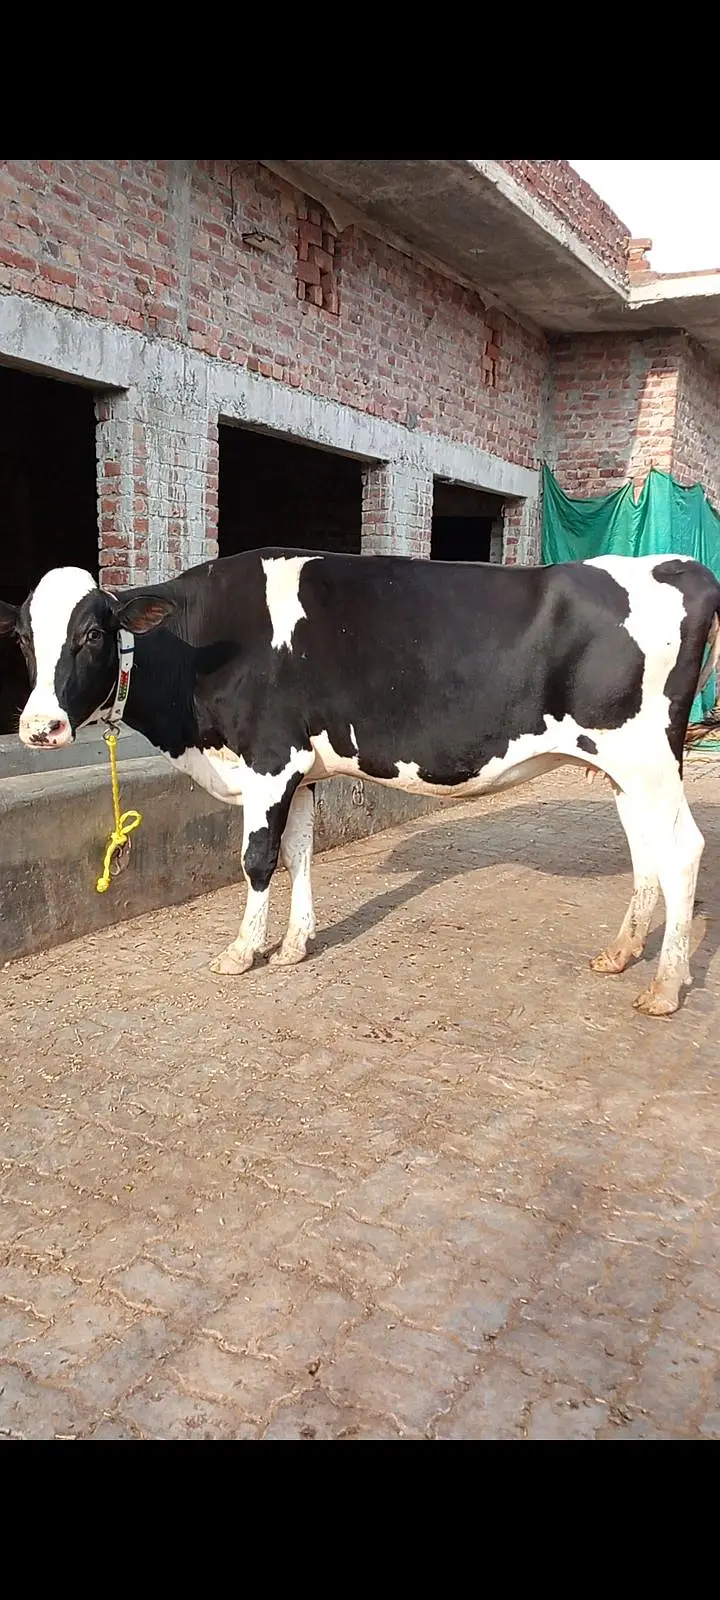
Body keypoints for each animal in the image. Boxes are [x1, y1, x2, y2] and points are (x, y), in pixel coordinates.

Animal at [1, 548, 719, 1018]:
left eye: (93, 634)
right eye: (25, 641)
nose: (39, 727)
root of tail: (678, 564)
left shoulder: (271, 758)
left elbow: (257, 859)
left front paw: (242, 951)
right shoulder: (301, 771)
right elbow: (299, 853)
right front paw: (295, 945)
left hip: (648, 758)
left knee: (683, 850)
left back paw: (664, 987)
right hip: (626, 769)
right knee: (646, 852)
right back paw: (621, 953)